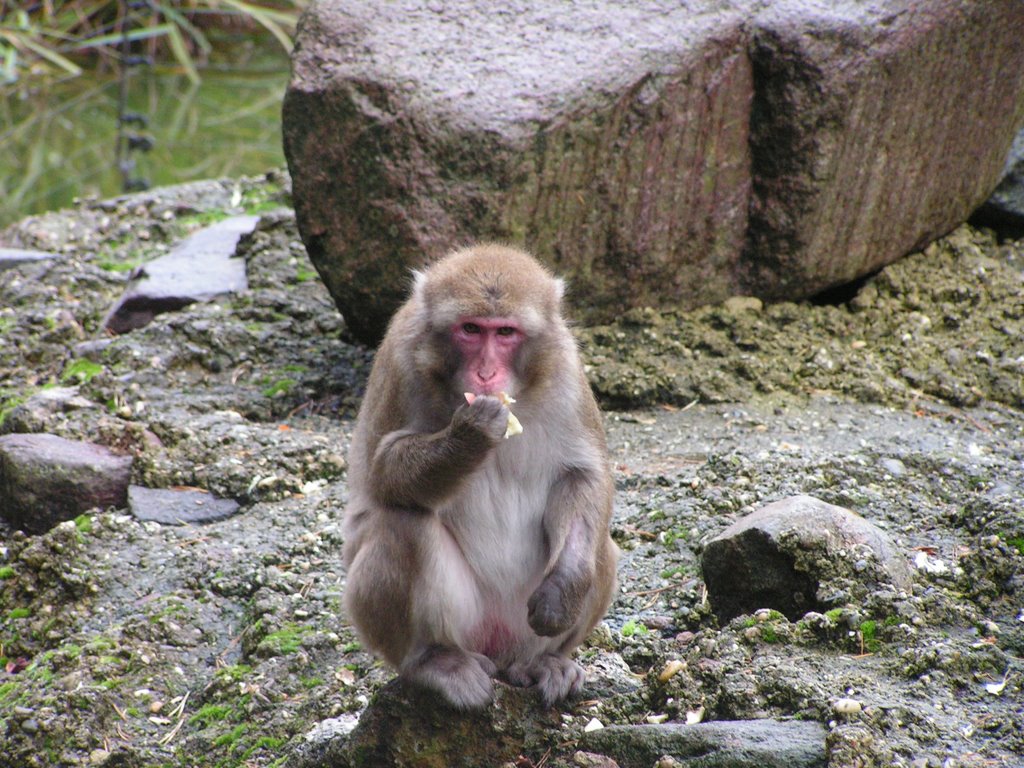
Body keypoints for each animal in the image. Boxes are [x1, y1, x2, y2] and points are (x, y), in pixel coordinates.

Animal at [342, 244, 614, 708]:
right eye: (470, 329)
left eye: (505, 332)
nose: (486, 373)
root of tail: (500, 651)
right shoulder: (400, 355)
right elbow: (383, 474)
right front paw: (470, 434)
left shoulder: (564, 367)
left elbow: (582, 475)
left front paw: (563, 590)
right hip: (465, 626)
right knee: (400, 523)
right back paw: (434, 661)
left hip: (521, 625)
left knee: (602, 546)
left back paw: (545, 662)